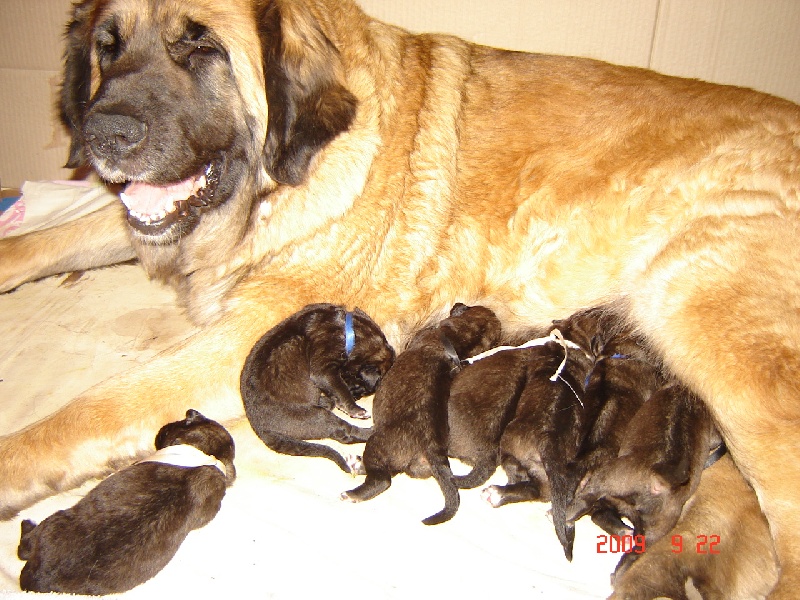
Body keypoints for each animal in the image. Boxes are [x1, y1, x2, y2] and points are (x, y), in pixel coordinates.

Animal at [16, 408, 234, 596]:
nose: (190, 411)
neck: (209, 453)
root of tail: (37, 576)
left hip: (51, 523)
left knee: (24, 546)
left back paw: (26, 524)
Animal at [241, 304, 396, 474]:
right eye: (360, 388)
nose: (356, 398)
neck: (350, 332)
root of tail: (261, 429)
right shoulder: (323, 366)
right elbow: (339, 388)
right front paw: (355, 408)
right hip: (315, 417)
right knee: (345, 433)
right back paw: (372, 430)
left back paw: (326, 402)